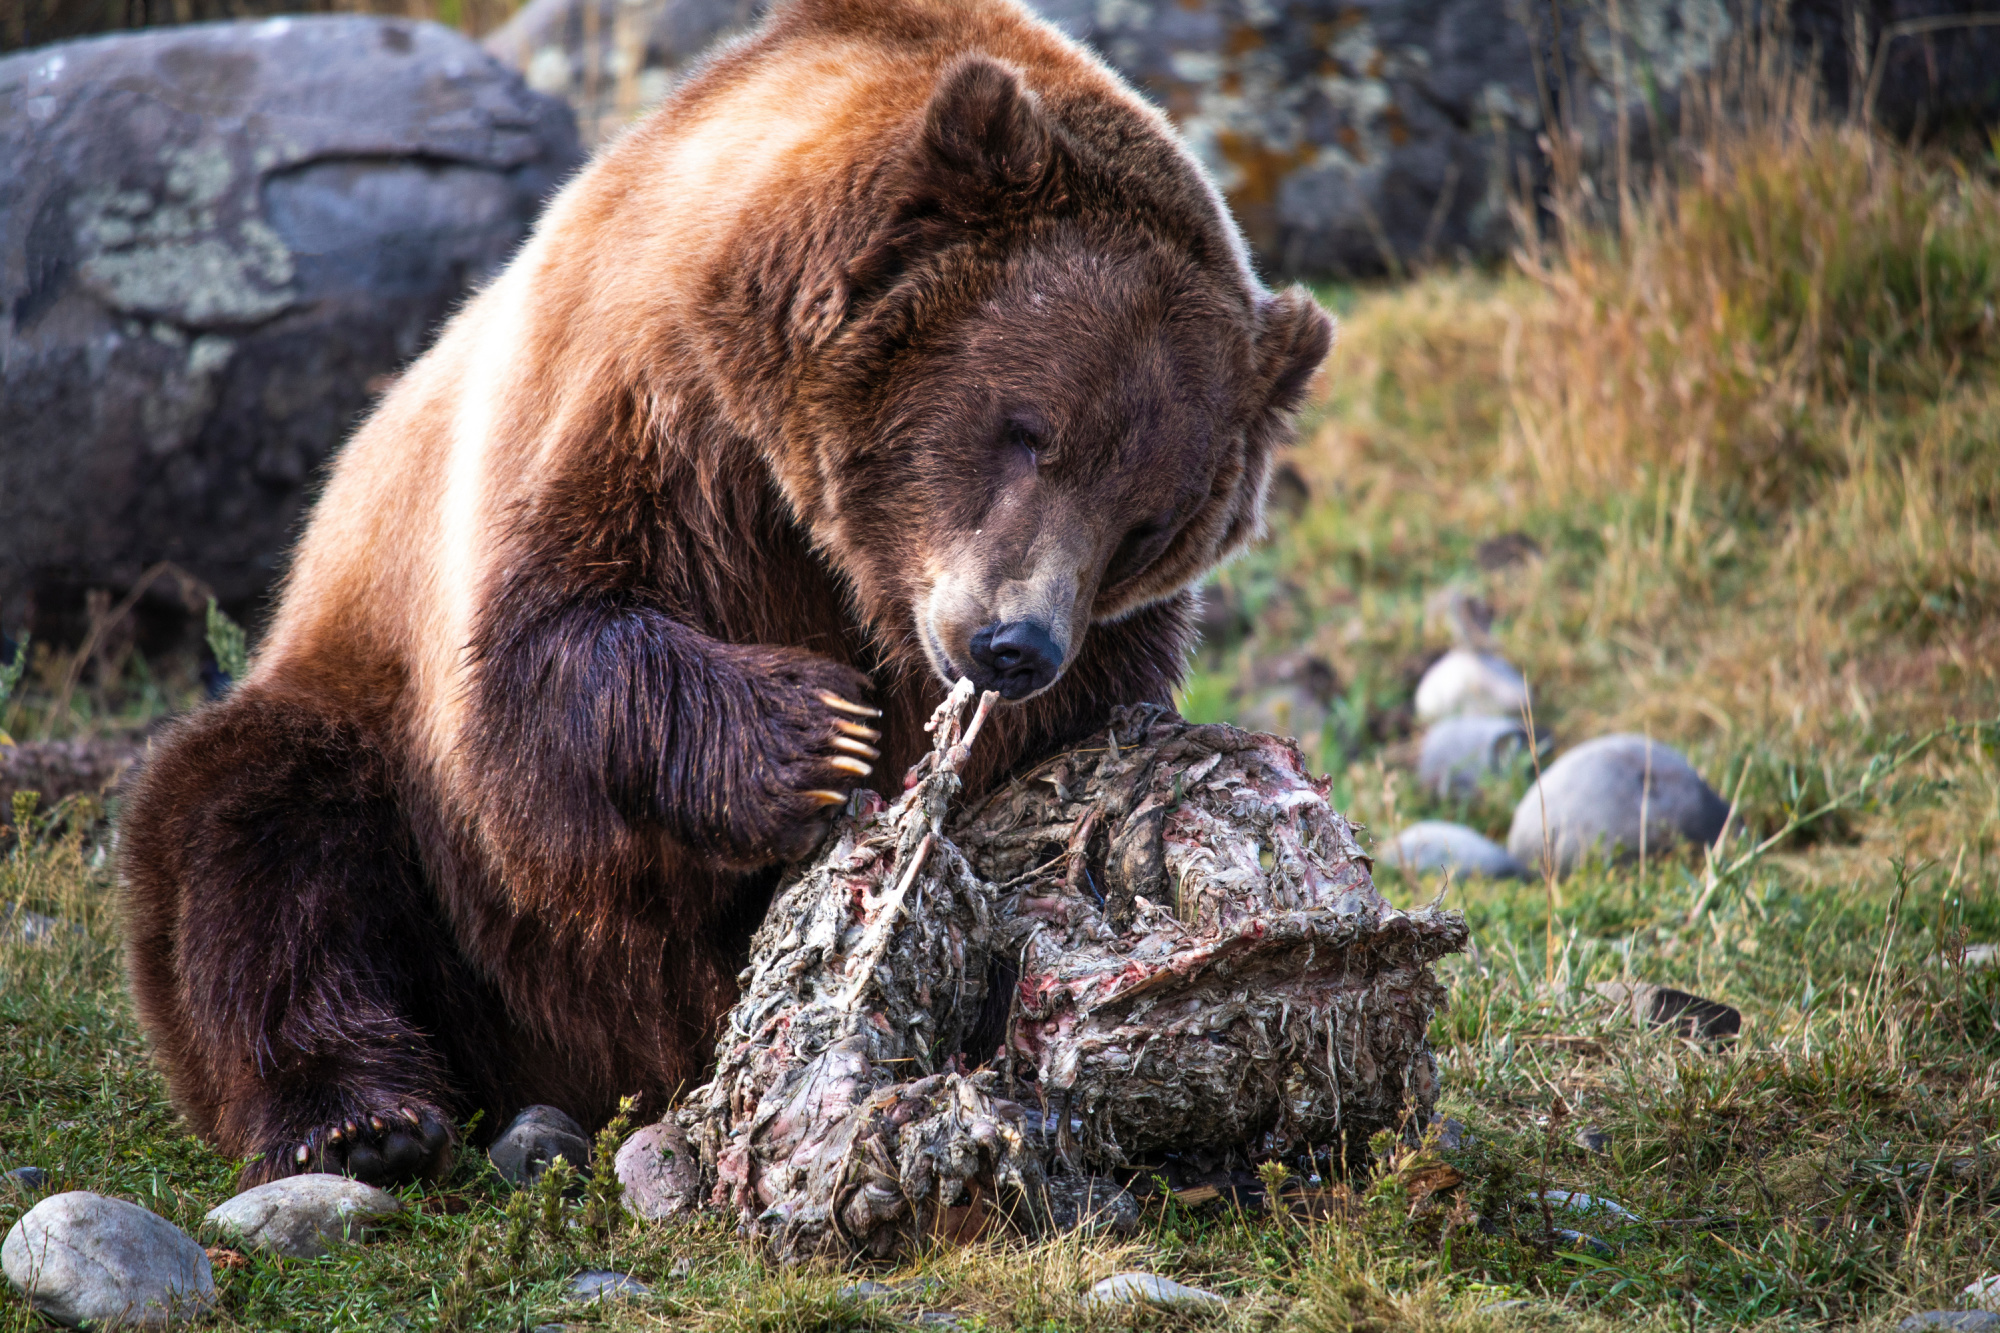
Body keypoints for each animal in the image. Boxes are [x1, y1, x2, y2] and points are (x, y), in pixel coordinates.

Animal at [121, 0, 1328, 1184]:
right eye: (1027, 429)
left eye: (1148, 520)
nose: (1014, 642)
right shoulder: (633, 414)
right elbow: (534, 673)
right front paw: (820, 733)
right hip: (388, 781)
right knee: (252, 826)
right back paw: (361, 1116)